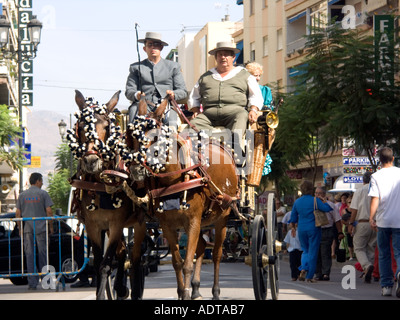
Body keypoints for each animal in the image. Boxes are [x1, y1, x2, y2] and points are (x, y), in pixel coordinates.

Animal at [68, 90, 148, 300]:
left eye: (106, 126)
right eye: (81, 127)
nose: (91, 160)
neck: (100, 183)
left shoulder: (116, 223)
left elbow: (105, 265)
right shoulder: (93, 226)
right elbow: (98, 264)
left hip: (138, 223)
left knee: (135, 258)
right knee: (122, 253)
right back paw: (120, 287)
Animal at [120, 97, 241, 300]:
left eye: (155, 137)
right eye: (131, 137)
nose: (136, 169)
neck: (173, 180)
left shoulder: (192, 222)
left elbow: (187, 264)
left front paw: (185, 292)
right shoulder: (168, 226)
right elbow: (177, 262)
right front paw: (183, 291)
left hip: (222, 217)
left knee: (216, 254)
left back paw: (215, 291)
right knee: (202, 247)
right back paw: (196, 289)